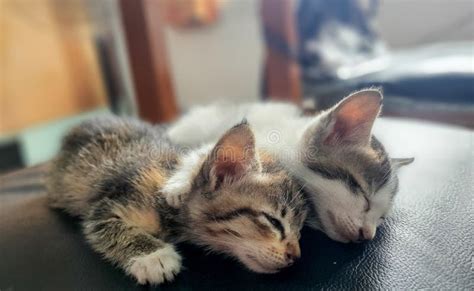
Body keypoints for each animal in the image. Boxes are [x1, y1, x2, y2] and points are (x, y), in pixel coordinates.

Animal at [47, 117, 308, 286]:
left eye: (300, 231)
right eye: (274, 222)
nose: (295, 258)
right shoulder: (106, 207)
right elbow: (106, 227)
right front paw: (153, 257)